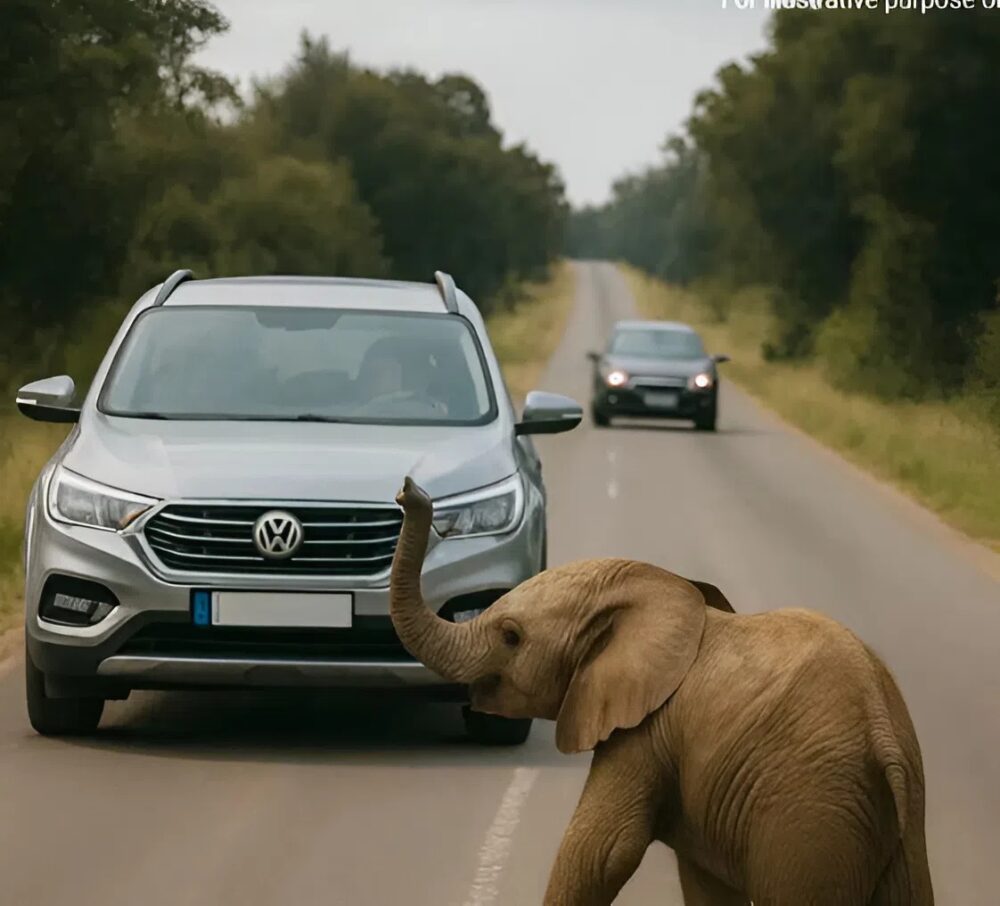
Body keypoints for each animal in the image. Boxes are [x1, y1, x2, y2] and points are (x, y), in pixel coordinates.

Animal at [389, 477, 934, 906]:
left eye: (510, 636)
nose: (409, 490)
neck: (659, 586)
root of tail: (883, 737)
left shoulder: (646, 731)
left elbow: (601, 852)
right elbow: (703, 881)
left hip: (808, 812)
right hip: (889, 822)